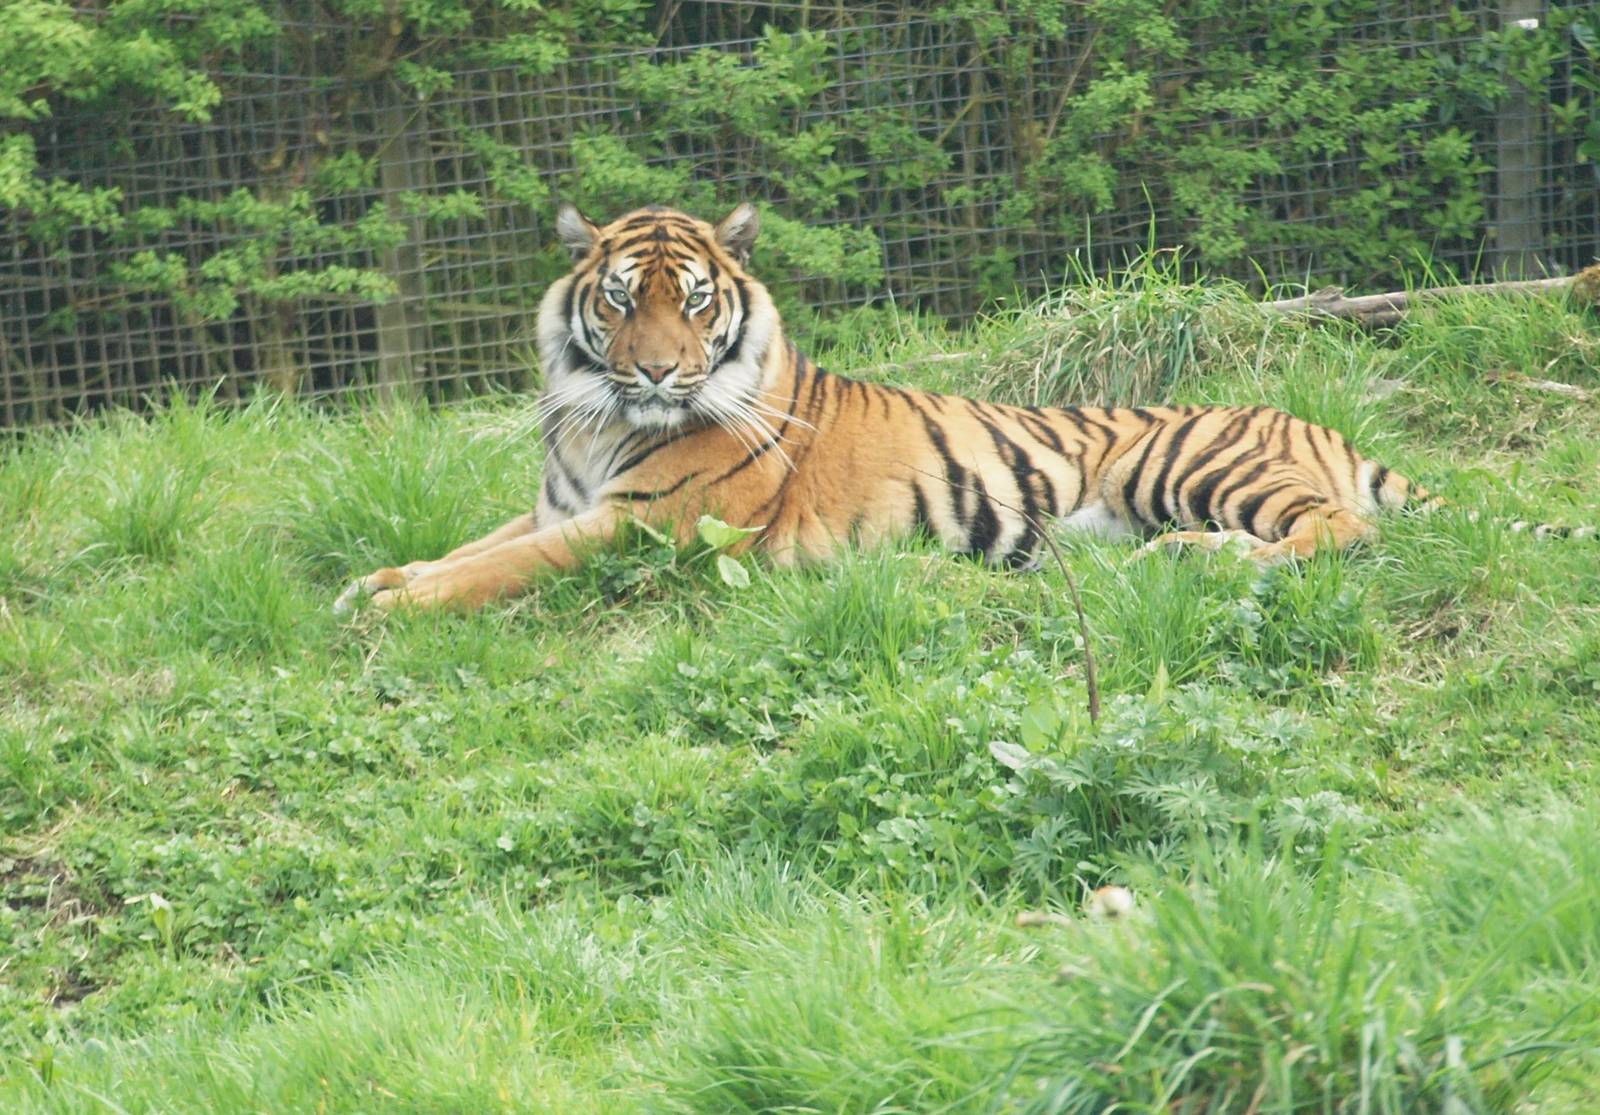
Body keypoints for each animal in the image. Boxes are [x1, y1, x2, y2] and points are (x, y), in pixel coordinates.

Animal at [333, 203, 1592, 615]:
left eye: (691, 303)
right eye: (617, 300)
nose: (652, 374)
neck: (598, 418)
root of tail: (1321, 423)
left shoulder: (651, 523)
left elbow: (502, 568)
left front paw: (392, 605)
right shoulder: (564, 502)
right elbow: (478, 543)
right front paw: (373, 579)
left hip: (1191, 461)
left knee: (1341, 532)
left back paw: (1216, 561)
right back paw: (1170, 562)